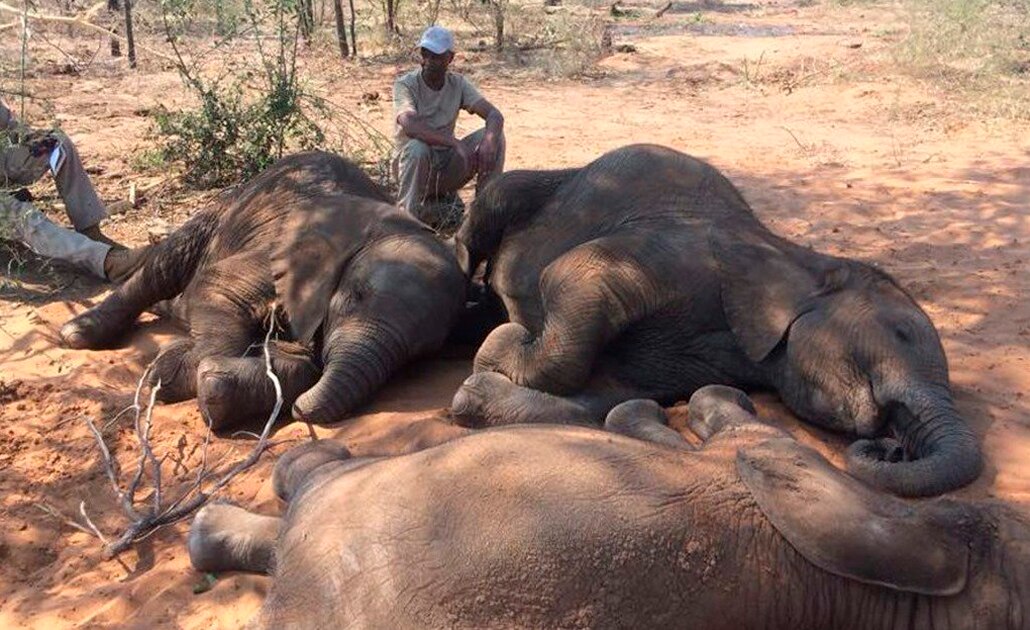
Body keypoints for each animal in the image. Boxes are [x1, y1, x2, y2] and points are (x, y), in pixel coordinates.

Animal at [60, 151, 466, 428]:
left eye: (419, 354)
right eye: (355, 297)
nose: (301, 410)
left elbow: (305, 364)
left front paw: (215, 384)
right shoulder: (274, 254)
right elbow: (219, 287)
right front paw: (171, 370)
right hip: (222, 211)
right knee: (165, 266)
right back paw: (78, 333)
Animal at [449, 144, 982, 497]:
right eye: (901, 333)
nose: (892, 449)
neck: (797, 260)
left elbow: (606, 393)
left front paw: (478, 389)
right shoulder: (683, 254)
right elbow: (573, 274)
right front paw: (503, 343)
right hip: (531, 187)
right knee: (491, 206)